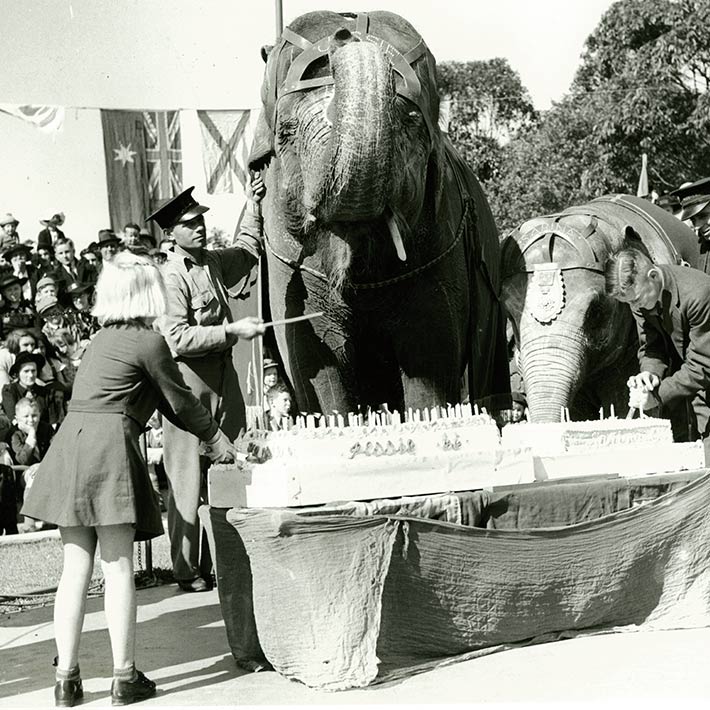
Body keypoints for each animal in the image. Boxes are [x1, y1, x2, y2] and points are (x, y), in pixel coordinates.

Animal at [248, 11, 508, 418]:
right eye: (286, 134)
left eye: (411, 124)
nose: (345, 34)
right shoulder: (286, 262)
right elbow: (318, 363)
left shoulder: (440, 246)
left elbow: (429, 359)